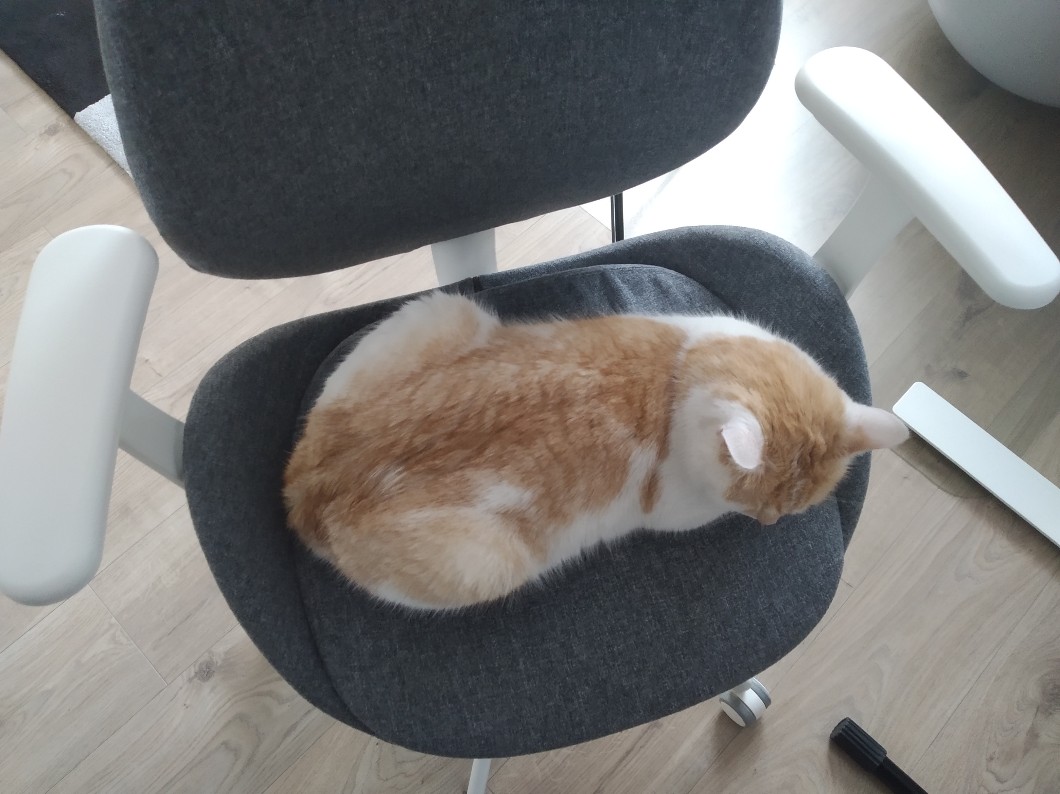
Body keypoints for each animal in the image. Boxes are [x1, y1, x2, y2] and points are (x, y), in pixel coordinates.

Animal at [283, 291, 908, 611]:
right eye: (758, 505)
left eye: (794, 508)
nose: (769, 523)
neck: (677, 376)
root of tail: (307, 488)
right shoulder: (676, 511)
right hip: (486, 564)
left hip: (443, 308)